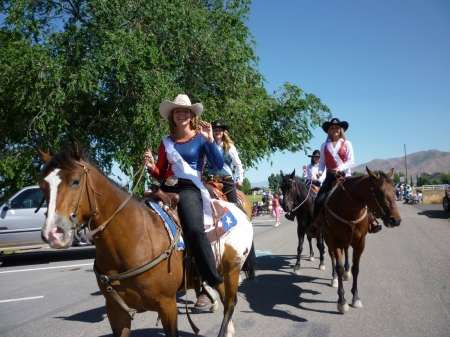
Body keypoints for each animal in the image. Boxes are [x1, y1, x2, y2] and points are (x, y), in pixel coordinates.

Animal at [37, 138, 255, 334]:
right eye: (42, 186)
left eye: (76, 181)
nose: (52, 233)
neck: (133, 240)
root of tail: (238, 210)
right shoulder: (116, 311)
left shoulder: (167, 306)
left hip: (232, 268)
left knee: (230, 302)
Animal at [320, 167, 400, 312]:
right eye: (379, 192)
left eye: (395, 191)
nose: (395, 220)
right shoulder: (335, 240)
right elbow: (339, 267)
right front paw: (342, 301)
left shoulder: (360, 242)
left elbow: (356, 268)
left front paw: (355, 298)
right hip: (328, 238)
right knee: (332, 257)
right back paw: (334, 279)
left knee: (346, 252)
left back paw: (347, 274)